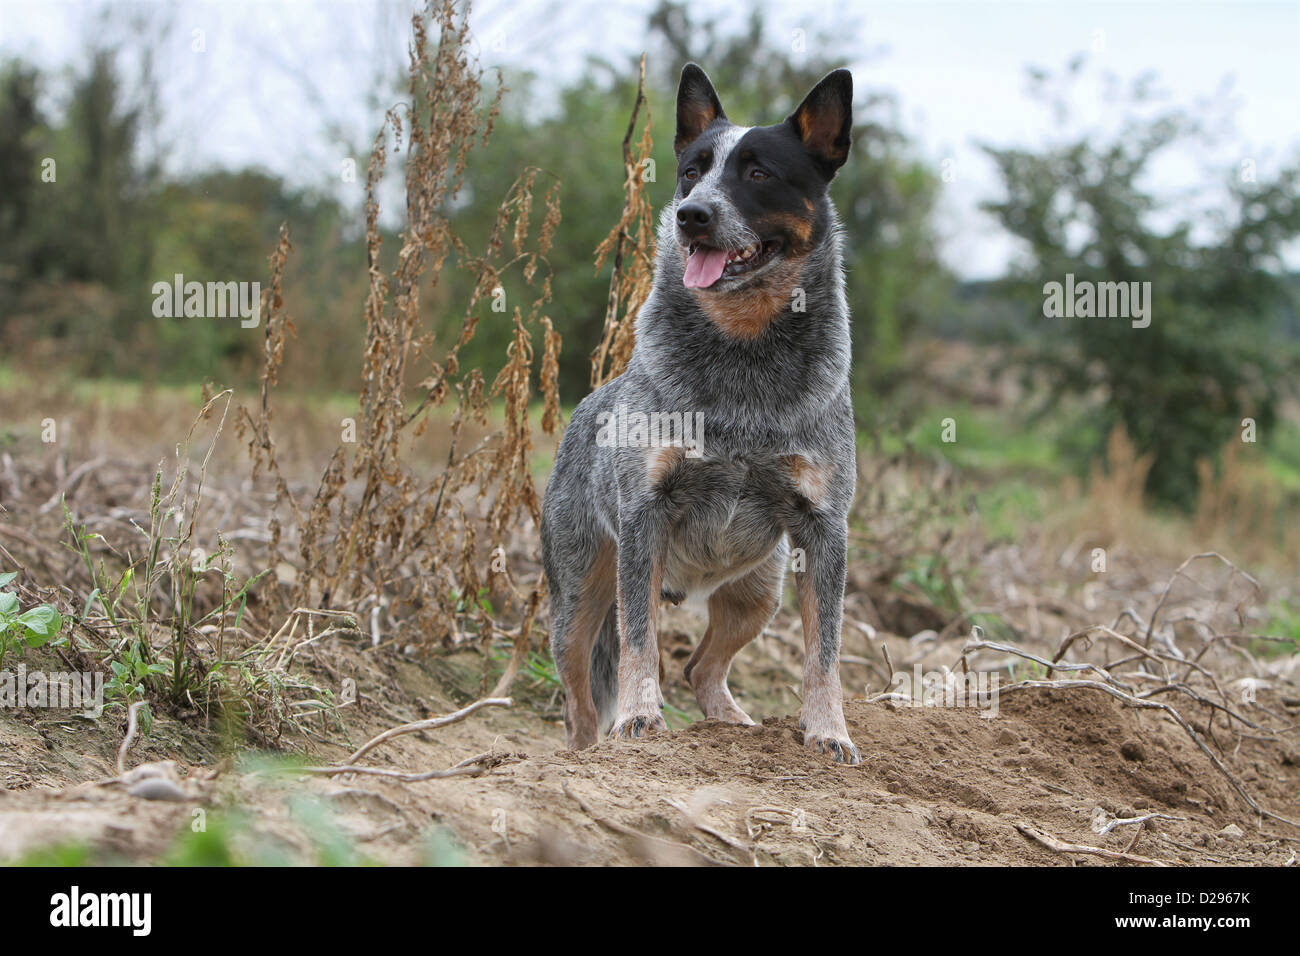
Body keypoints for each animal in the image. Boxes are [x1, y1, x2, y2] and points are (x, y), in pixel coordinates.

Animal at [540, 61, 863, 764]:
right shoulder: (644, 516)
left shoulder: (824, 529)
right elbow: (639, 642)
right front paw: (640, 719)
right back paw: (586, 750)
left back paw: (732, 725)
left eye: (759, 172)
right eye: (692, 169)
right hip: (577, 596)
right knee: (581, 698)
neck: (744, 352)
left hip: (759, 589)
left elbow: (824, 652)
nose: (692, 215)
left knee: (700, 666)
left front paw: (829, 732)